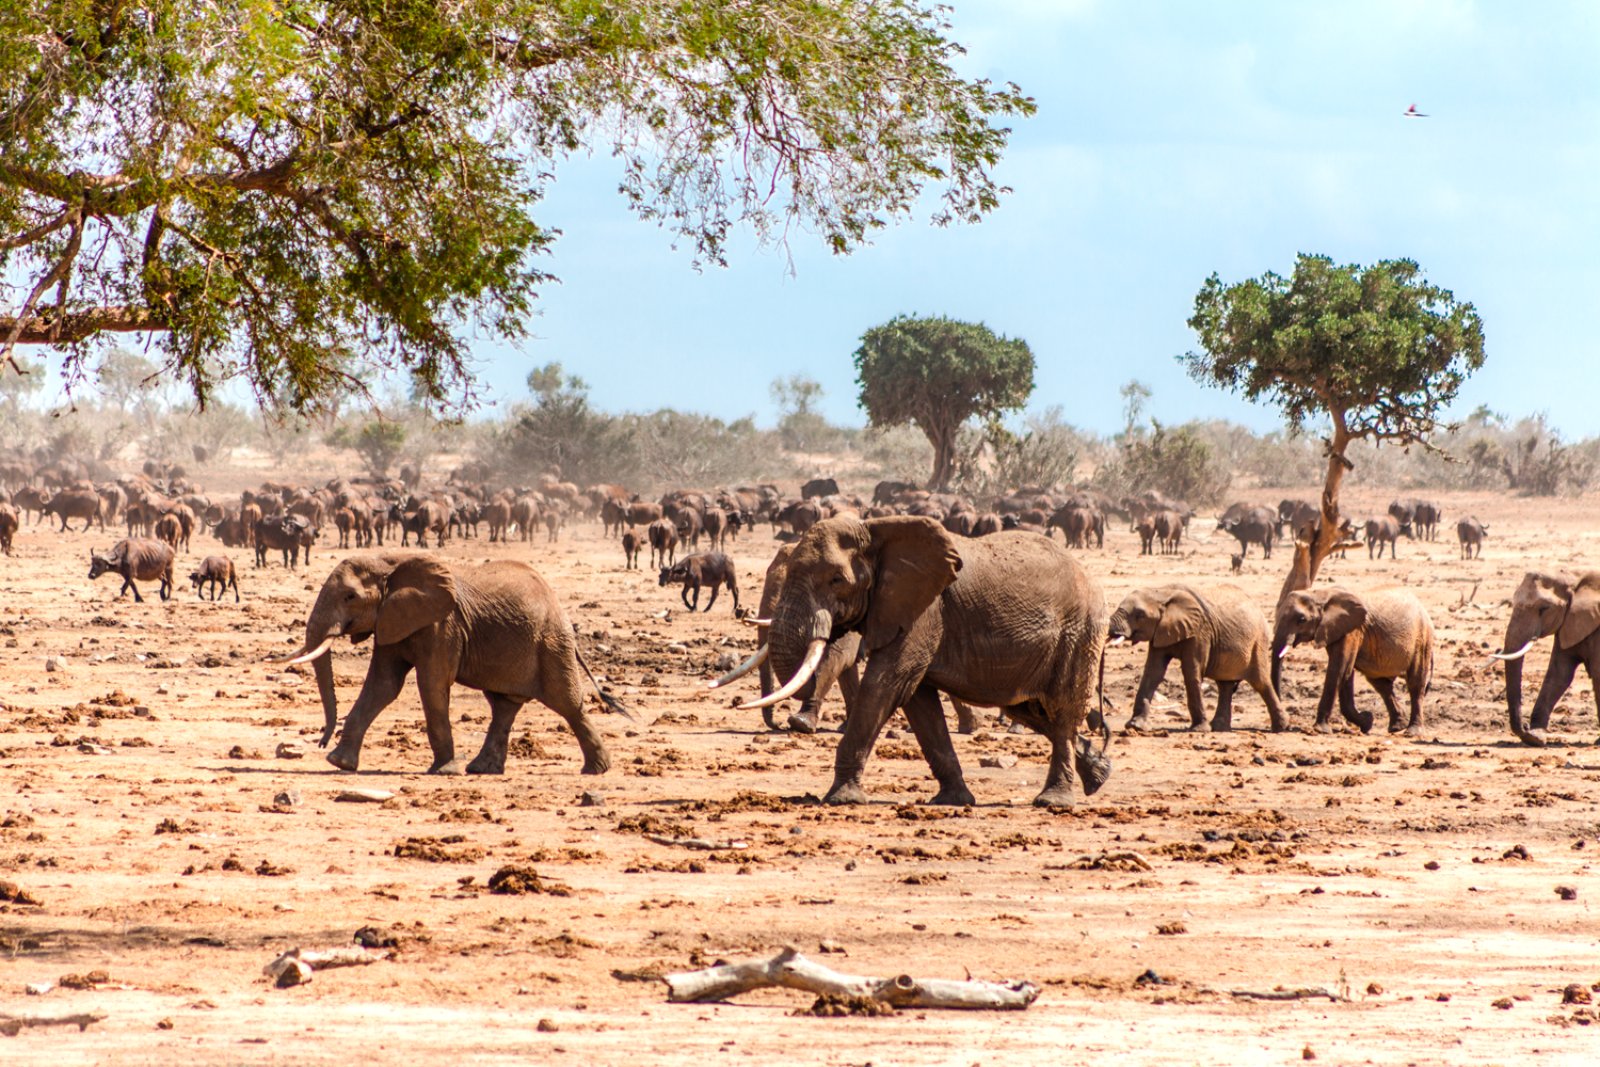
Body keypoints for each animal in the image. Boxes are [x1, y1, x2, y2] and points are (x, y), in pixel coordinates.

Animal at [278, 550, 627, 777]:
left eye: (350, 597)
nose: (320, 741)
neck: (390, 561)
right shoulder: (392, 619)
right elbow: (383, 686)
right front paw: (338, 763)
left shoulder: (443, 624)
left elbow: (431, 684)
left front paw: (444, 770)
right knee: (503, 706)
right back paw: (482, 770)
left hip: (551, 642)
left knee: (566, 703)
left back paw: (596, 770)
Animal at [742, 518, 1107, 809]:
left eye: (836, 580)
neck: (875, 530)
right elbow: (919, 702)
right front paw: (953, 801)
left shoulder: (923, 612)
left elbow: (886, 685)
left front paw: (841, 799)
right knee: (1030, 710)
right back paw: (1099, 774)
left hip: (1079, 631)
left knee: (1061, 710)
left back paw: (1054, 802)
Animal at [1113, 585, 1286, 735]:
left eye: (1140, 615)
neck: (1162, 591)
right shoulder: (1160, 632)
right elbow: (1153, 673)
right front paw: (1135, 726)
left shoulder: (1200, 632)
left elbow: (1191, 672)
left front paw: (1199, 729)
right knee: (1225, 685)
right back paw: (1220, 728)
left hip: (1258, 642)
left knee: (1261, 682)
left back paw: (1281, 728)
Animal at [1273, 588, 1440, 739]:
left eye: (1301, 619)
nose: (1284, 725)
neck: (1320, 594)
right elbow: (1345, 672)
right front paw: (1367, 721)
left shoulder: (1352, 631)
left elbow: (1339, 669)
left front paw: (1321, 730)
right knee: (1382, 685)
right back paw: (1396, 727)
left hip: (1422, 639)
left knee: (1415, 683)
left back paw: (1412, 732)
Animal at [1484, 572, 1600, 748]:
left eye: (1544, 609)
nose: (1525, 727)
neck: (1577, 580)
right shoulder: (1569, 625)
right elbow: (1559, 675)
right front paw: (1535, 737)